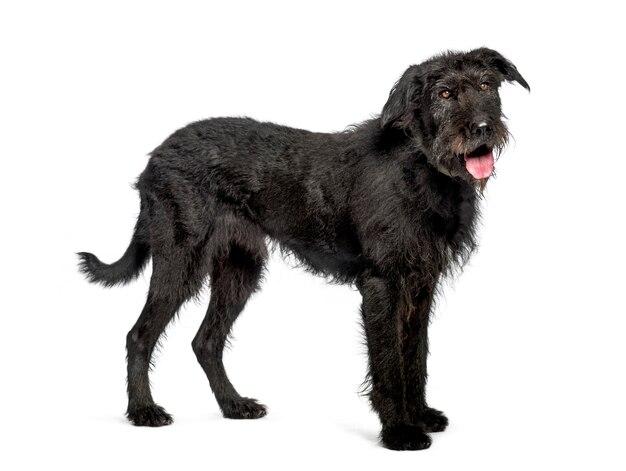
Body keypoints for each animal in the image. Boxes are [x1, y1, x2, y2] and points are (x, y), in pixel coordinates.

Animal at [78, 47, 528, 450]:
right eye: (444, 94)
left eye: (486, 85)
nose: (482, 128)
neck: (420, 165)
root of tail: (155, 156)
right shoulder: (383, 285)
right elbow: (388, 363)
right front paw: (399, 432)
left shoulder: (420, 285)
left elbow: (415, 357)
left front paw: (418, 416)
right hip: (180, 261)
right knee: (138, 335)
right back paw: (143, 411)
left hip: (240, 270)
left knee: (205, 342)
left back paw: (234, 405)